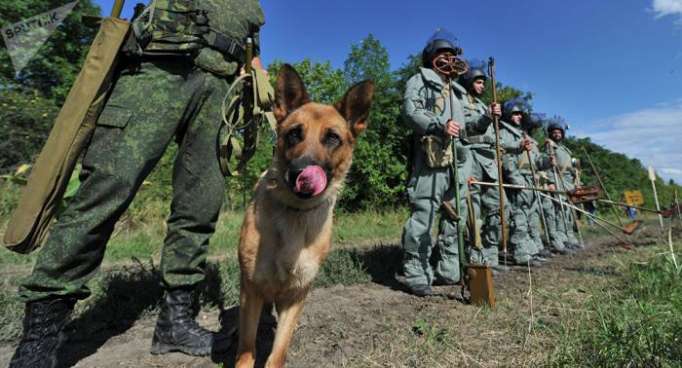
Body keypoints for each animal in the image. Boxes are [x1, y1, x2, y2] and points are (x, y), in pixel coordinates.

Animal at [234, 66, 372, 368]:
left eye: (332, 138)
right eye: (294, 134)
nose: (300, 172)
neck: (295, 212)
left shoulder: (296, 297)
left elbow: (278, 353)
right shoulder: (252, 291)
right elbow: (247, 349)